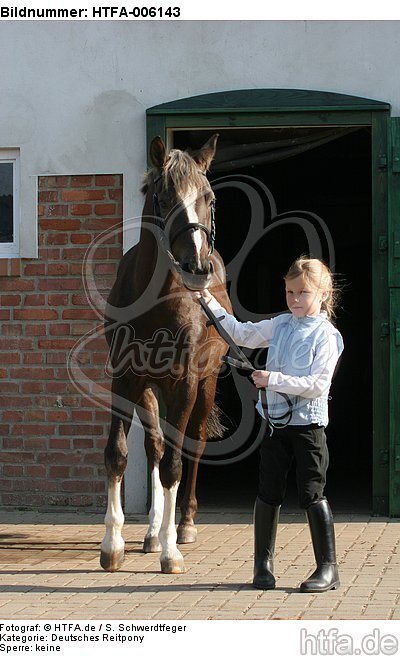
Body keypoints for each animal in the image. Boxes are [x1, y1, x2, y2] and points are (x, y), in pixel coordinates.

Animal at [100, 134, 231, 574]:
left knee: (193, 444)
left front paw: (172, 551)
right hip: (150, 389)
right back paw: (153, 532)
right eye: (163, 197)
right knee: (155, 446)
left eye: (209, 197)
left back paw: (183, 525)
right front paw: (113, 546)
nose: (196, 266)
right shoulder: (125, 379)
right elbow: (119, 455)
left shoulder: (185, 382)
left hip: (205, 385)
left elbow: (175, 461)